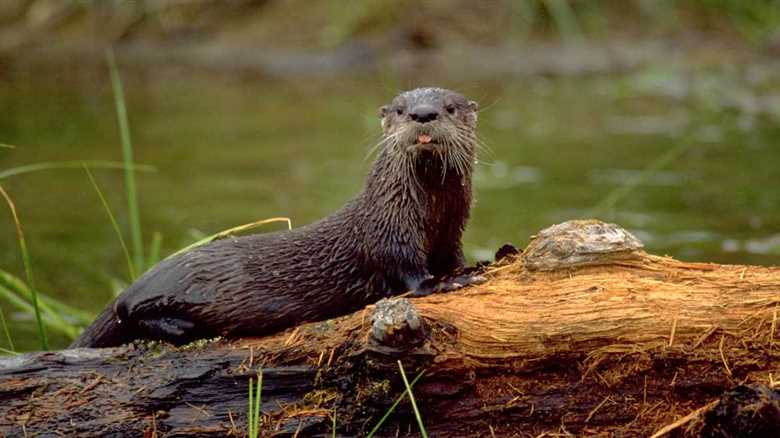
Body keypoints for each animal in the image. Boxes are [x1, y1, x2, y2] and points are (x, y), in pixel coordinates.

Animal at [71, 87, 481, 348]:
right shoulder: (388, 230)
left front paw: (469, 267)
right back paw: (180, 326)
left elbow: (452, 255)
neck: (429, 211)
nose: (422, 114)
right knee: (127, 310)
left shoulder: (453, 229)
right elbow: (409, 273)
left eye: (450, 107)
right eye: (400, 110)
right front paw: (446, 282)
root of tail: (136, 282)